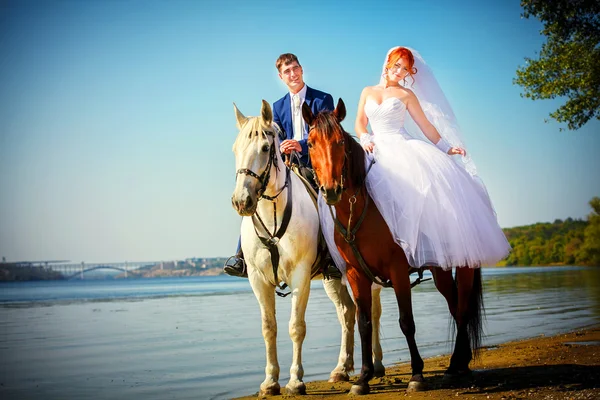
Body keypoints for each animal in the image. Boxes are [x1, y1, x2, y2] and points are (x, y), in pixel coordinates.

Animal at [230, 101, 356, 396]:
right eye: (235, 149)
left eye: (266, 148)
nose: (242, 201)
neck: (271, 213)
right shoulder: (258, 279)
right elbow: (269, 328)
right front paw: (270, 382)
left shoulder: (300, 276)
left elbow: (296, 327)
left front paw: (296, 381)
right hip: (333, 278)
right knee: (348, 313)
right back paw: (341, 368)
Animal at [304, 99, 482, 394]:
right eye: (310, 143)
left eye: (340, 141)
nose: (331, 190)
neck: (358, 210)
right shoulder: (356, 274)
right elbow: (364, 324)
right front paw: (363, 378)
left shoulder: (398, 270)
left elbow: (406, 322)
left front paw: (417, 375)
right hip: (441, 269)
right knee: (456, 308)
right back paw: (459, 364)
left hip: (464, 264)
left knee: (463, 309)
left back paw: (458, 365)